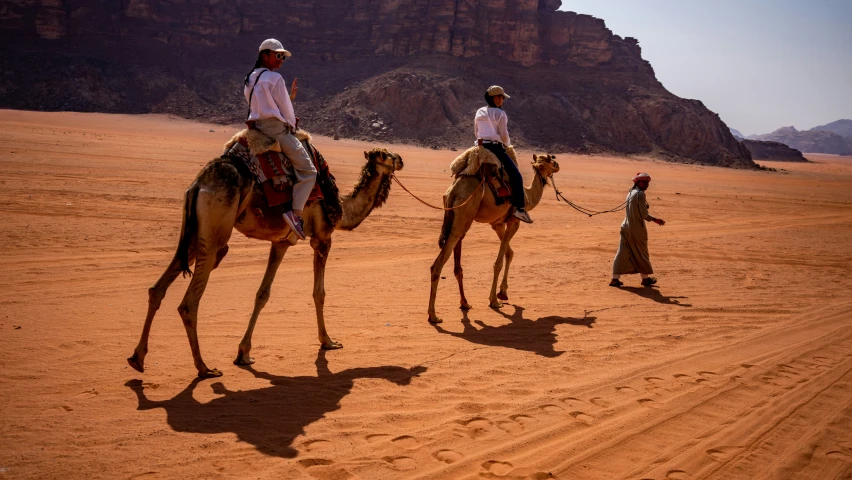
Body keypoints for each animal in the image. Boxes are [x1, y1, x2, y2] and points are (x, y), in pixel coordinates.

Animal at [128, 132, 404, 378]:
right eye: (385, 155)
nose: (401, 158)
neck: (343, 208)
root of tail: (199, 185)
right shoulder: (323, 238)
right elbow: (319, 293)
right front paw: (328, 341)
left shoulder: (281, 243)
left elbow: (262, 294)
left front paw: (243, 353)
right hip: (215, 233)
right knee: (189, 302)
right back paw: (204, 368)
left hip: (194, 234)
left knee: (157, 289)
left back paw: (137, 358)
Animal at [426, 152, 560, 324]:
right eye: (551, 160)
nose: (558, 165)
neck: (528, 196)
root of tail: (453, 192)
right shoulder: (514, 221)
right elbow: (499, 262)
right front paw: (495, 300)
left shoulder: (497, 224)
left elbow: (509, 253)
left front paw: (503, 293)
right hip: (463, 218)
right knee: (438, 264)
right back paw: (433, 315)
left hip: (458, 218)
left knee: (456, 265)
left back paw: (465, 303)